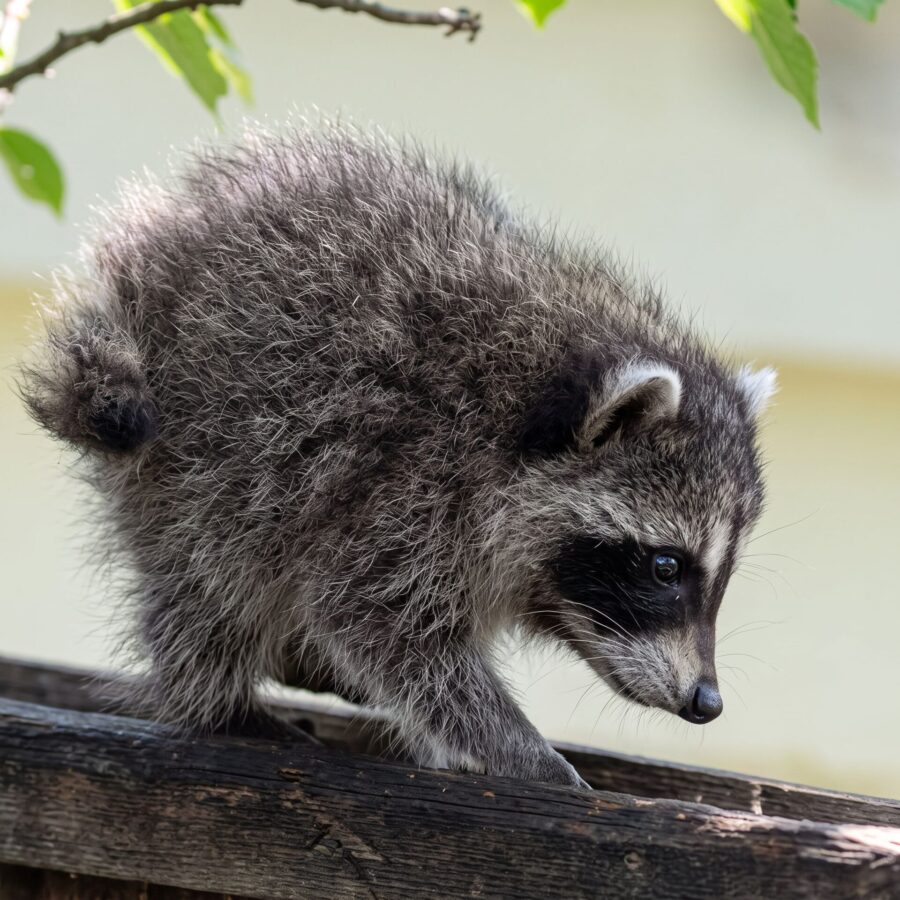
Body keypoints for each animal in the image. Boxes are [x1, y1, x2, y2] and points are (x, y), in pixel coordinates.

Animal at [20, 120, 776, 788]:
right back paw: (220, 700)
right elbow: (383, 623)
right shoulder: (408, 474)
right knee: (209, 571)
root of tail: (145, 252)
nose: (706, 702)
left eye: (719, 574)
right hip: (204, 434)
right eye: (665, 566)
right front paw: (520, 751)